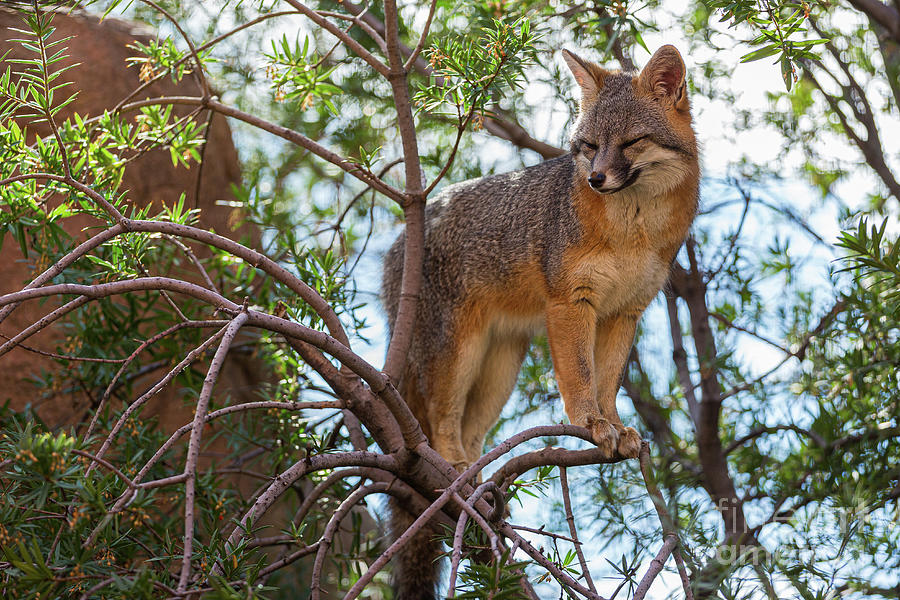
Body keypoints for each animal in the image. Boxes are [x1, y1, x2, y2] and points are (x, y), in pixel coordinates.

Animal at [384, 44, 700, 596]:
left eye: (631, 142)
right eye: (589, 146)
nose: (595, 179)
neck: (634, 229)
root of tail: (396, 247)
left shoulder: (625, 312)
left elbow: (607, 380)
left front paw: (616, 425)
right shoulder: (571, 304)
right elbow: (580, 377)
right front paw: (591, 424)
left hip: (498, 372)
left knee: (470, 431)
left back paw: (478, 486)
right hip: (457, 354)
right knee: (442, 424)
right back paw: (455, 472)